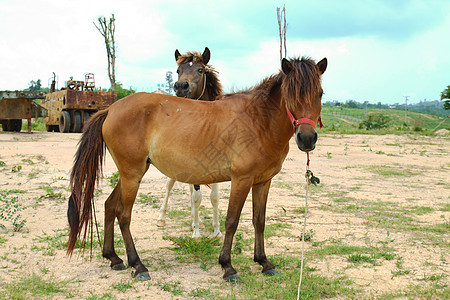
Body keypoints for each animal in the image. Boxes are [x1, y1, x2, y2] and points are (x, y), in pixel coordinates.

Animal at [157, 47, 224, 239]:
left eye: (200, 70)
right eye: (178, 70)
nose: (180, 86)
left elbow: (214, 197)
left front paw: (217, 231)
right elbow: (197, 197)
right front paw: (196, 234)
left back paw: (198, 220)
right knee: (170, 185)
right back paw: (162, 218)